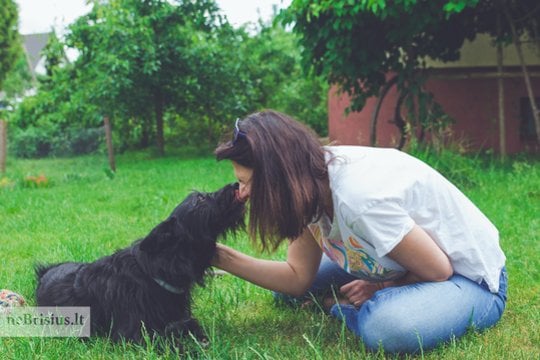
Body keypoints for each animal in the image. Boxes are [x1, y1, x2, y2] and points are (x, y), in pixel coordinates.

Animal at [35, 183, 243, 348]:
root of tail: (44, 273)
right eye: (200, 198)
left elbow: (189, 325)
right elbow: (169, 341)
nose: (236, 185)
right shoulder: (134, 335)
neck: (156, 271)